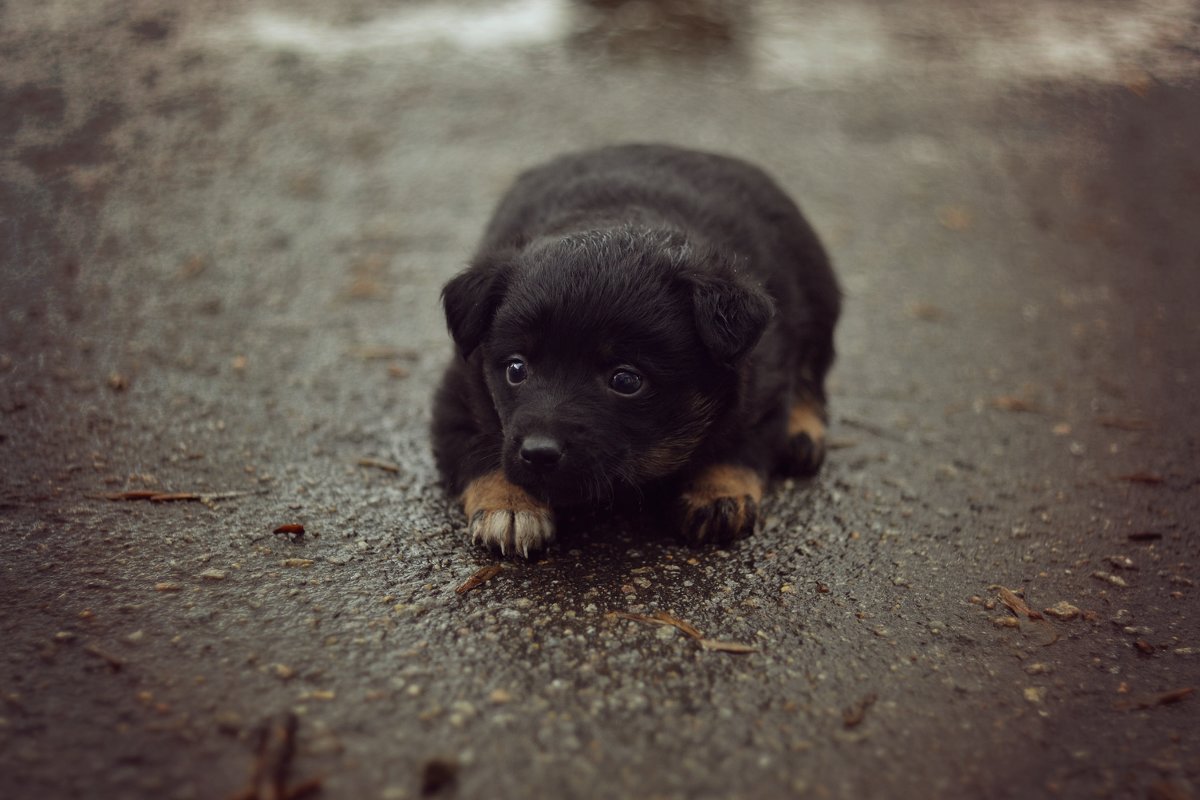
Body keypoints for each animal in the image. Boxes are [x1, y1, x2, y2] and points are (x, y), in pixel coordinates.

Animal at [436, 143, 840, 556]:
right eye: (516, 370)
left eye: (626, 381)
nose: (539, 452)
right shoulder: (458, 394)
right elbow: (481, 446)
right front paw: (512, 507)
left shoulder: (762, 385)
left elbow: (742, 443)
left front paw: (716, 493)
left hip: (817, 297)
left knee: (812, 375)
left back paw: (802, 432)